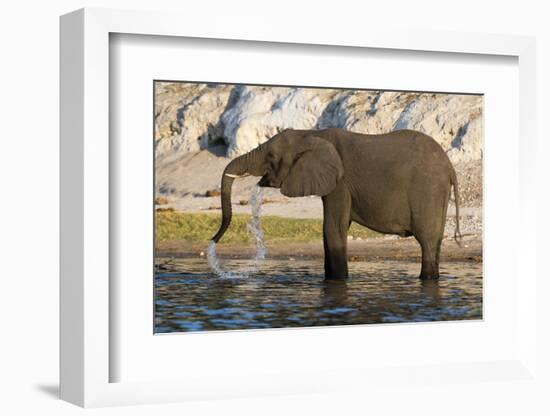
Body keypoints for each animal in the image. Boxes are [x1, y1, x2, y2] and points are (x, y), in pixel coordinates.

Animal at [211, 128, 462, 282]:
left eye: (271, 157)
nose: (213, 241)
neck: (310, 134)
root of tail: (450, 167)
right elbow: (332, 229)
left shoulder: (340, 182)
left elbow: (333, 228)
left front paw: (338, 280)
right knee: (435, 242)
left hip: (428, 190)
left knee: (427, 242)